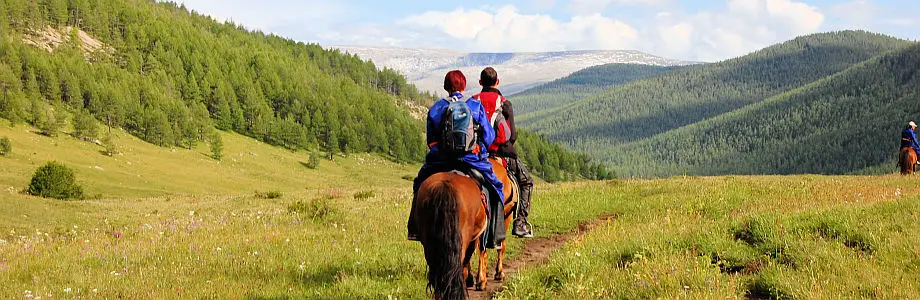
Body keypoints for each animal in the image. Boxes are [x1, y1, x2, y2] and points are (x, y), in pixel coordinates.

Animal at [468, 158, 516, 292]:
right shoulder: (505, 217)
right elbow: (501, 246)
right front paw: (499, 273)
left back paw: (470, 278)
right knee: (481, 248)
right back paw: (480, 280)